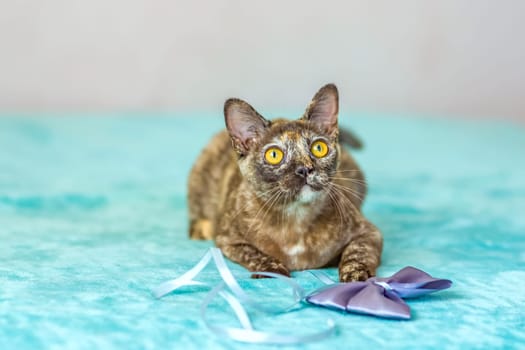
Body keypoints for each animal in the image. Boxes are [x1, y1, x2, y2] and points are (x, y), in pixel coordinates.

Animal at [188, 84, 380, 282]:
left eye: (319, 148)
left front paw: (356, 275)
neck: (296, 218)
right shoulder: (228, 239)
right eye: (274, 155)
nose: (305, 169)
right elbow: (252, 253)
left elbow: (357, 252)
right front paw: (271, 268)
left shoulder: (368, 232)